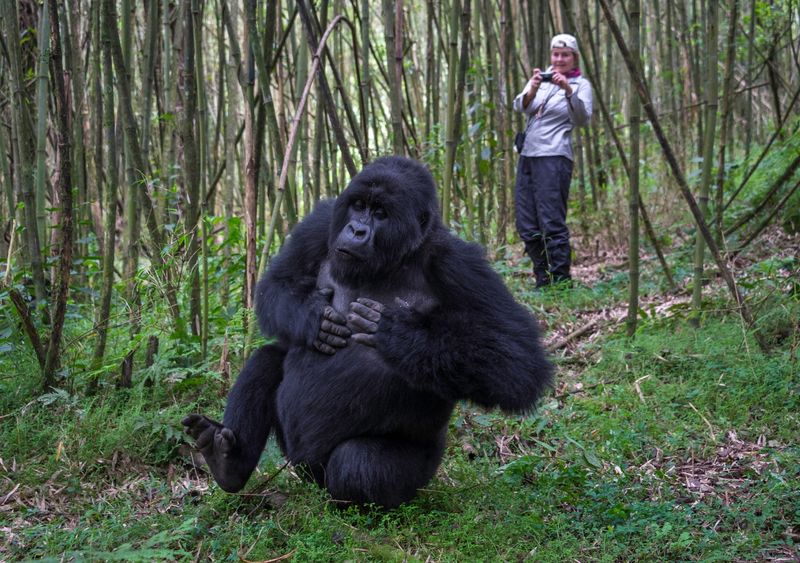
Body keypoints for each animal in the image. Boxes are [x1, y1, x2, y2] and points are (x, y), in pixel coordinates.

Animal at [184, 156, 552, 508]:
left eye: (380, 213)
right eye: (358, 206)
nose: (357, 229)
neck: (399, 256)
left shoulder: (459, 262)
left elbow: (517, 362)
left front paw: (398, 334)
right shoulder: (322, 221)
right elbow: (277, 283)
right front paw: (312, 316)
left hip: (413, 472)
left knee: (358, 463)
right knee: (268, 357)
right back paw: (228, 462)